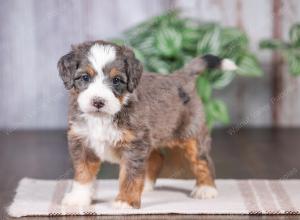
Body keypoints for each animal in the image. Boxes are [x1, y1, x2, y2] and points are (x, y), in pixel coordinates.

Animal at [57, 40, 236, 210]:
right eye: (85, 77)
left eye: (116, 80)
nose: (98, 102)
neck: (102, 118)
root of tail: (179, 77)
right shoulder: (82, 141)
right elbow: (83, 173)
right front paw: (78, 198)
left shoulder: (134, 145)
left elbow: (130, 175)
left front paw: (126, 201)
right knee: (157, 158)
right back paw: (146, 185)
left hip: (192, 134)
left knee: (202, 160)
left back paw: (206, 188)